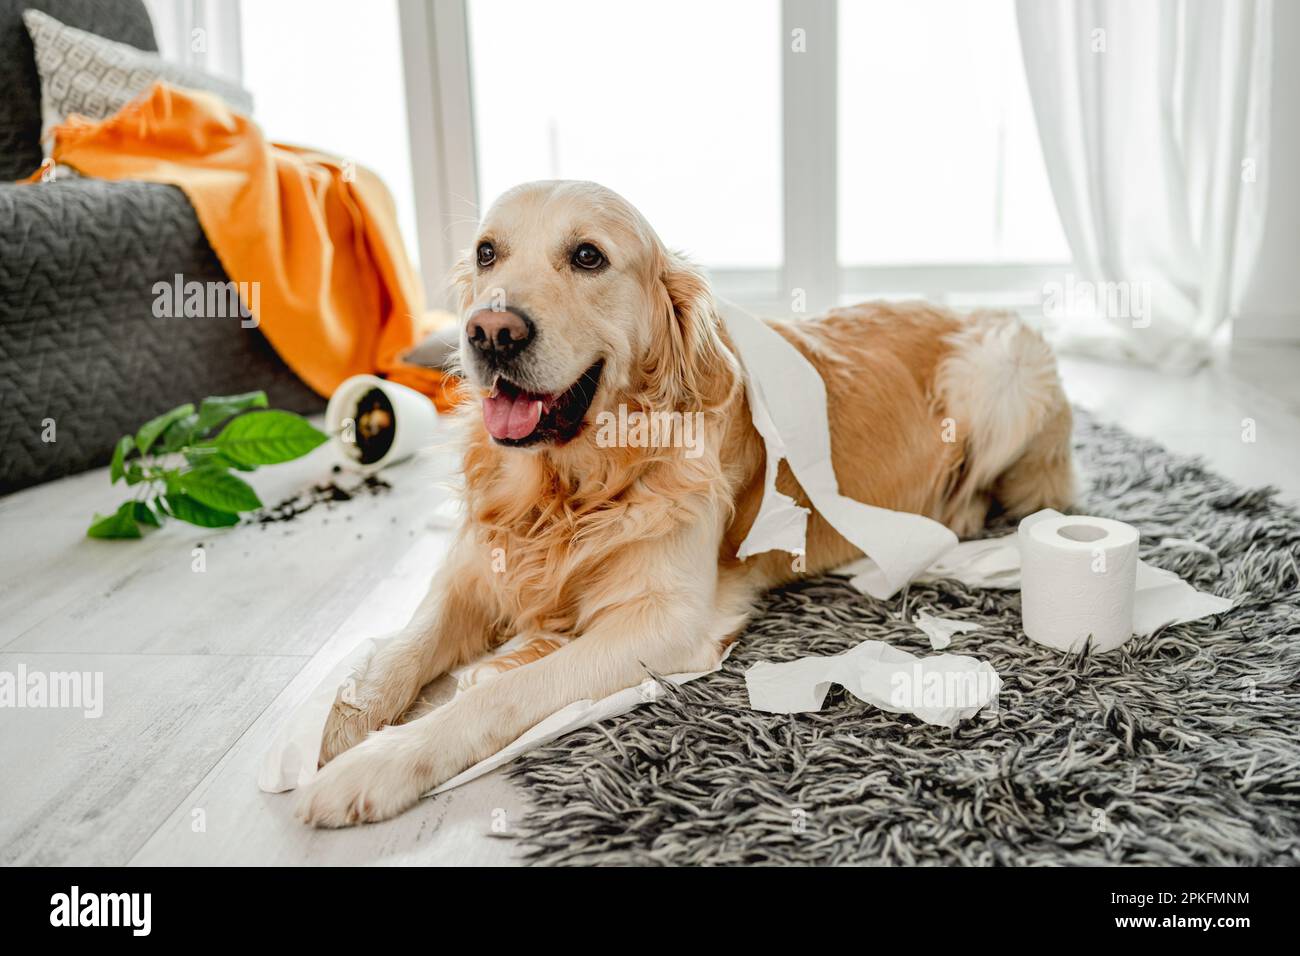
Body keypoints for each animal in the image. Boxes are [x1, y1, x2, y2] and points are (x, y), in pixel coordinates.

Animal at [297, 183, 1076, 827]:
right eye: (488, 252)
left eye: (587, 256)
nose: (491, 331)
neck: (573, 488)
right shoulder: (473, 567)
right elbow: (407, 642)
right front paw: (340, 722)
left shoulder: (663, 621)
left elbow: (500, 694)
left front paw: (375, 766)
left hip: (1001, 372)